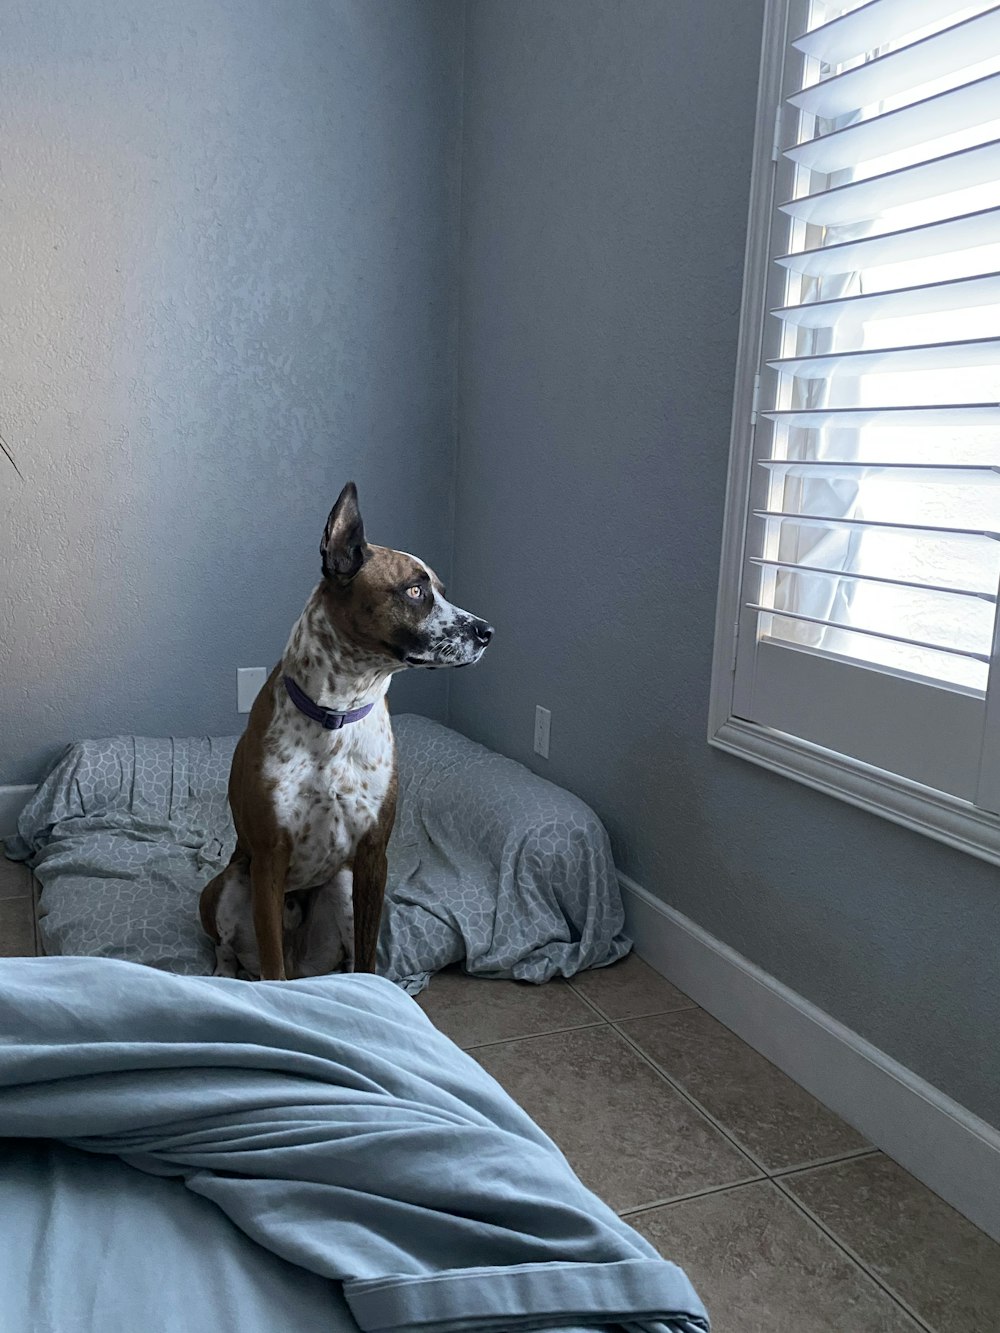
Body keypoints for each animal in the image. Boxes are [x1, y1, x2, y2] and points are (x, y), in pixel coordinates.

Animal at [198, 485, 493, 986]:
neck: (338, 713)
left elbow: (370, 953)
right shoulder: (269, 858)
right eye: (415, 590)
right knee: (230, 949)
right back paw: (221, 975)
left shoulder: (373, 855)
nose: (486, 631)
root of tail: (304, 966)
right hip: (229, 882)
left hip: (343, 882)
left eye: (442, 592)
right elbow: (271, 971)